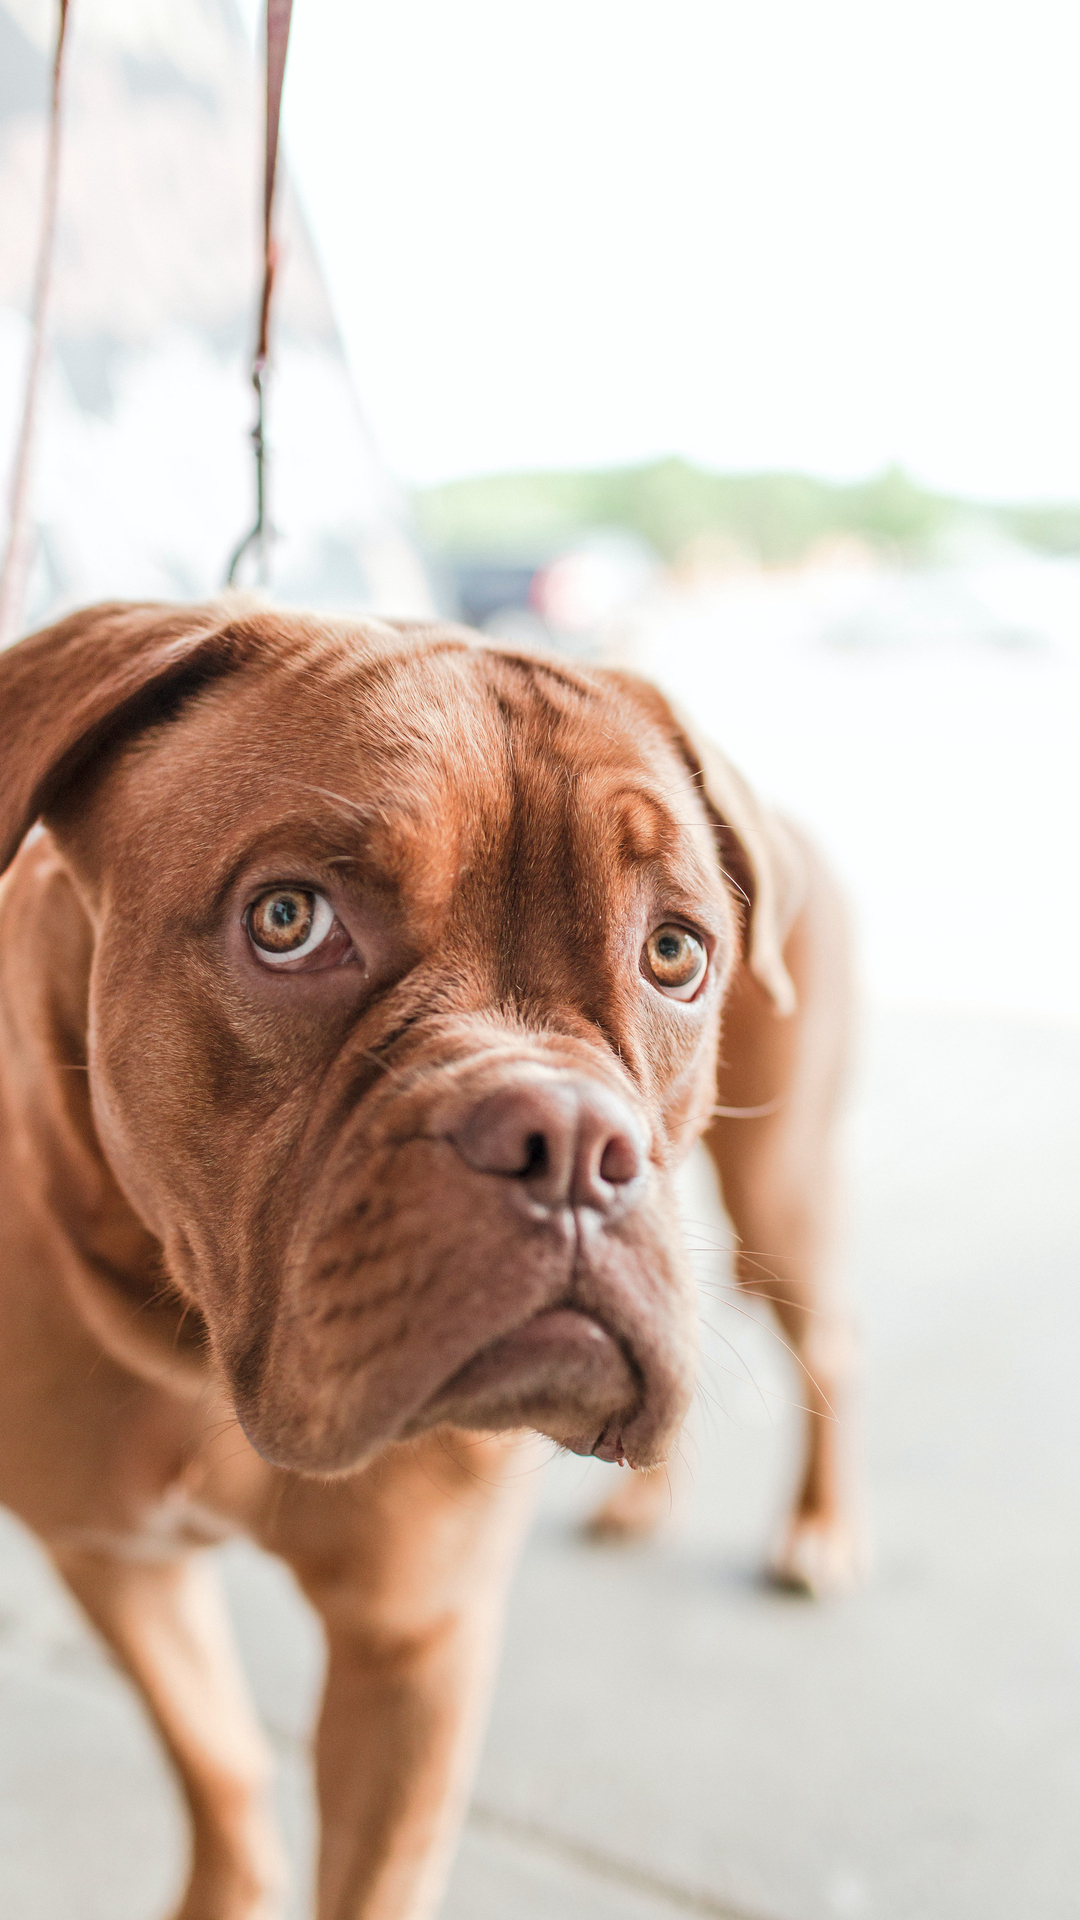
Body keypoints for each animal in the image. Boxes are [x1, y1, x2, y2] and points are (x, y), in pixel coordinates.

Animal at [0, 602, 857, 1920]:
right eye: (288, 920)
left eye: (674, 953)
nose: (570, 1142)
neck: (199, 1358)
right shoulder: (114, 1557)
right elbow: (221, 1756)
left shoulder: (412, 1643)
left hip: (782, 1202)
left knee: (832, 1346)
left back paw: (815, 1531)